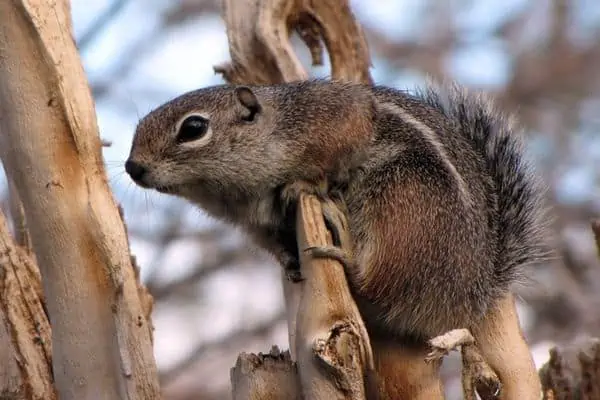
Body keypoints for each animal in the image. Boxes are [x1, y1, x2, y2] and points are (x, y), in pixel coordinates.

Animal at [125, 79, 548, 396]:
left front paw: (305, 183)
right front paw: (289, 262)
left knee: (375, 281)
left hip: (404, 204)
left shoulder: (331, 117)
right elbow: (274, 244)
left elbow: (341, 142)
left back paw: (344, 245)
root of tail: (474, 290)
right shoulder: (256, 224)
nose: (133, 167)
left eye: (193, 128)